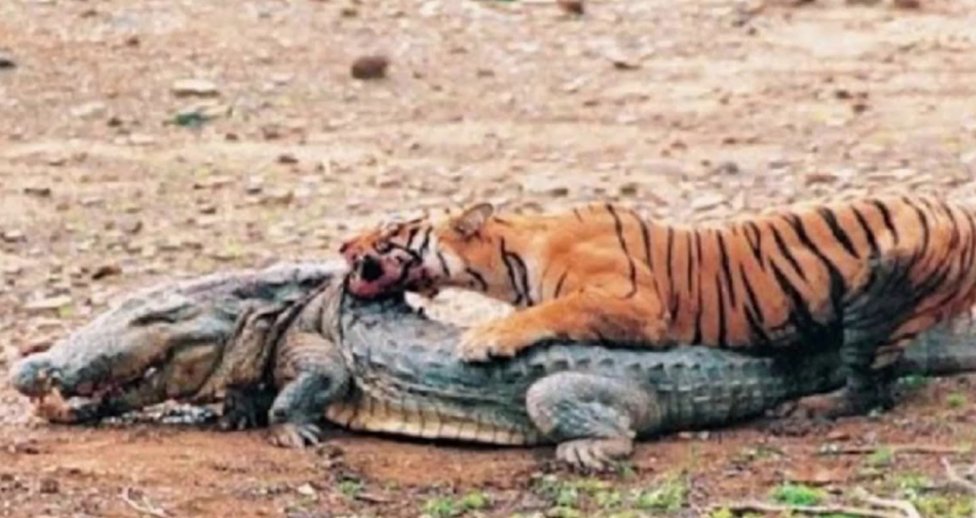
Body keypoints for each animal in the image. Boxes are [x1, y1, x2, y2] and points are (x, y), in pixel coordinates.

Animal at [338, 194, 976, 417]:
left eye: (390, 230)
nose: (342, 246)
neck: (508, 259)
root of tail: (959, 211)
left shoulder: (637, 304)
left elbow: (550, 312)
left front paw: (483, 339)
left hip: (881, 291)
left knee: (873, 385)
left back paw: (813, 408)